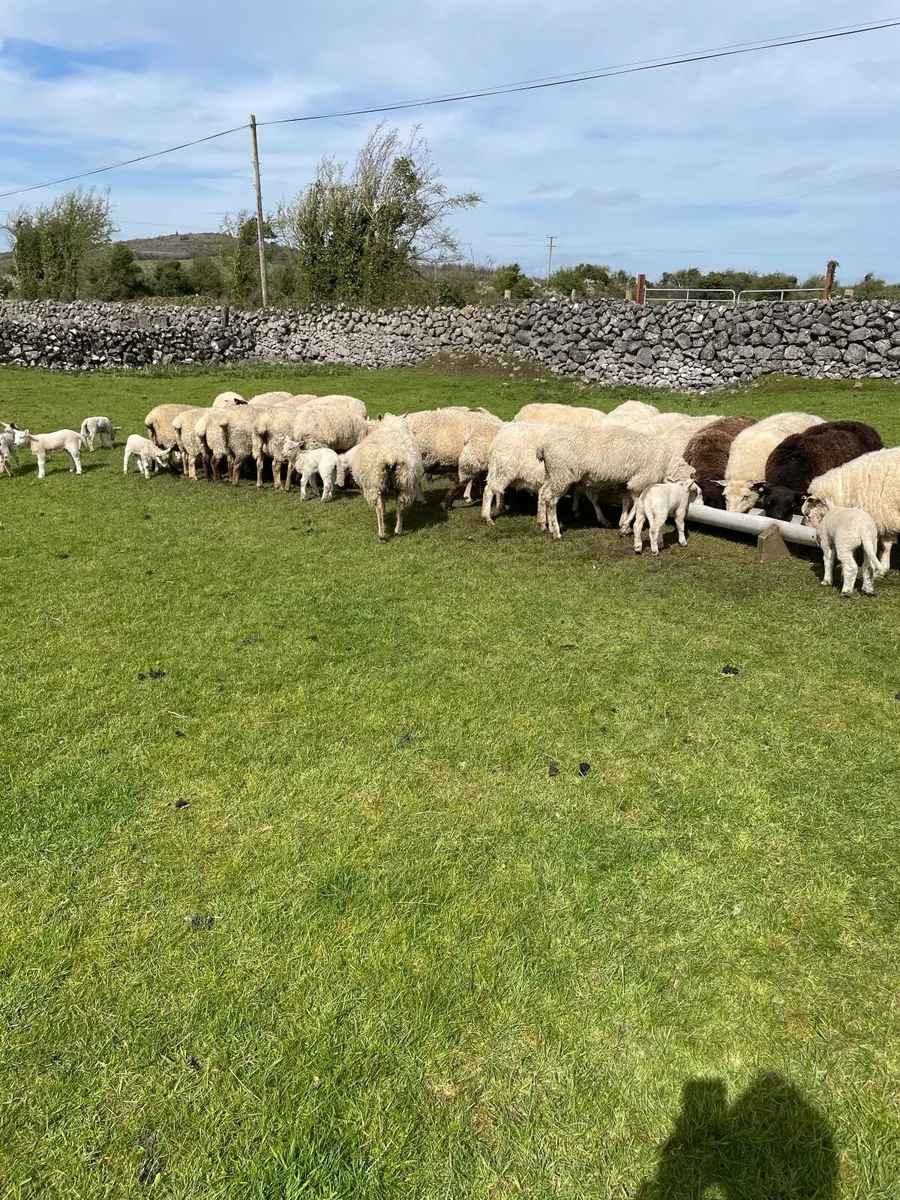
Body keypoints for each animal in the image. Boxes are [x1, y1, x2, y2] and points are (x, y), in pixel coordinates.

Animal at [537, 425, 695, 541]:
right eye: (692, 490)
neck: (667, 462)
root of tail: (542, 446)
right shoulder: (640, 481)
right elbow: (637, 504)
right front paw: (624, 527)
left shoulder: (627, 482)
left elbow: (627, 502)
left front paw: (623, 523)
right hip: (562, 474)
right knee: (551, 499)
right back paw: (556, 532)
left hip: (552, 473)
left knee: (543, 492)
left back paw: (544, 524)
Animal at [806, 447, 900, 576]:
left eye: (807, 515)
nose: (815, 538)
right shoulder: (887, 519)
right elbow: (887, 545)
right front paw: (884, 567)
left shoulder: (883, 518)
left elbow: (882, 546)